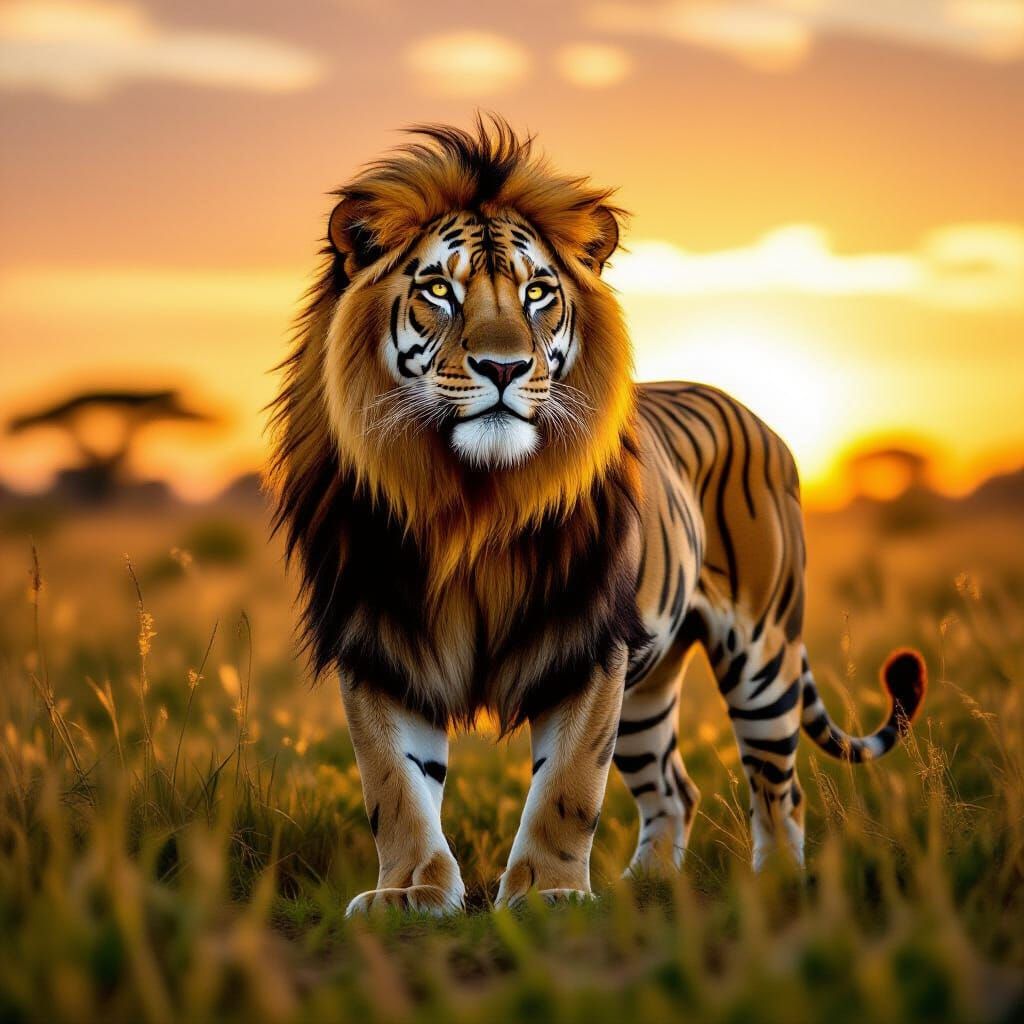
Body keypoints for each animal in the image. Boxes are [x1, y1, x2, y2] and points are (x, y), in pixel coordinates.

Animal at [269, 116, 927, 915]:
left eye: (537, 292)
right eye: (439, 290)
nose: (503, 368)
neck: (469, 503)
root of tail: (748, 407)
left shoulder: (588, 645)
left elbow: (569, 785)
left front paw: (548, 893)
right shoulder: (379, 641)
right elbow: (395, 785)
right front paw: (412, 893)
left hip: (761, 655)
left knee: (779, 789)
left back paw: (775, 887)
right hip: (649, 687)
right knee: (675, 790)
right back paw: (646, 885)